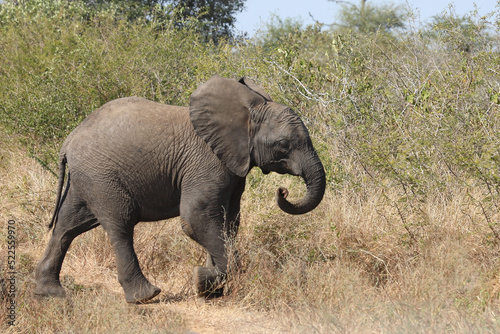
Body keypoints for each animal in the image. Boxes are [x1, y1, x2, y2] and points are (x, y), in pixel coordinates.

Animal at [33, 75, 326, 302]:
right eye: (284, 145)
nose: (283, 191)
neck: (245, 112)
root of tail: (68, 140)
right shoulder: (207, 163)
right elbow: (196, 219)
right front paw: (203, 281)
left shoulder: (232, 169)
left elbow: (228, 221)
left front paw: (210, 287)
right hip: (102, 176)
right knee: (120, 224)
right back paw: (145, 297)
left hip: (87, 178)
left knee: (68, 225)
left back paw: (50, 293)